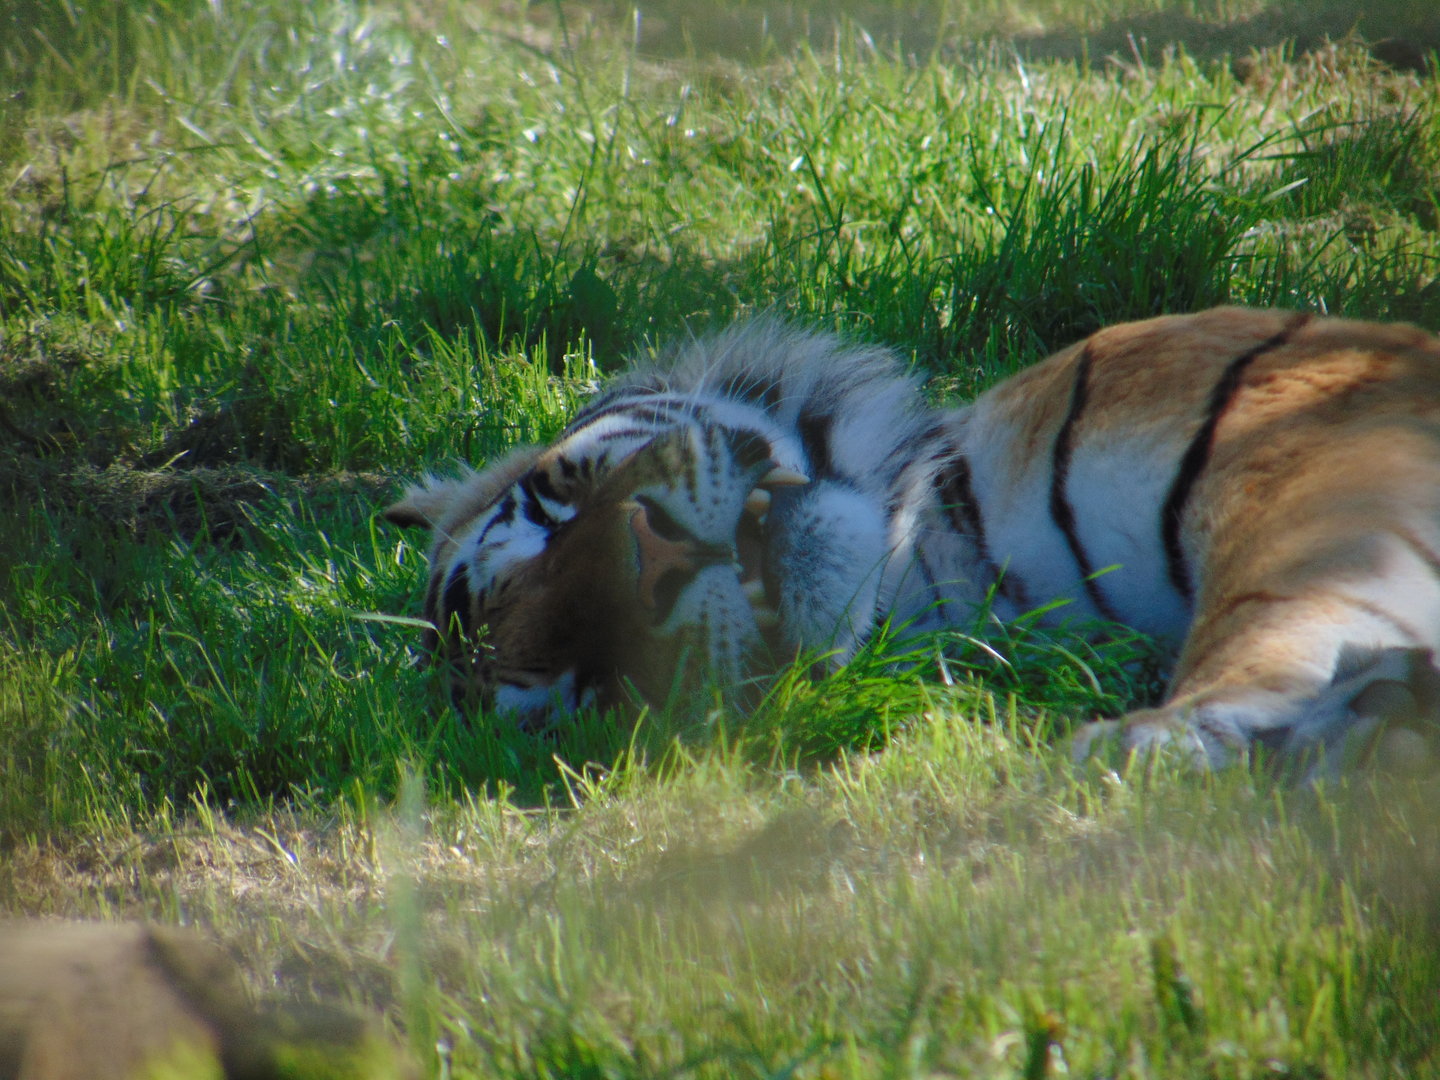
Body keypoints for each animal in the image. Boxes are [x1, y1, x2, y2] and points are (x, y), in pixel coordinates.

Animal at [385, 307, 1440, 775]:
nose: (654, 566)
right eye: (588, 687)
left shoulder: (1314, 447)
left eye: (546, 510)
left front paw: (1168, 729)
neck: (948, 564)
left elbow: (1264, 606)